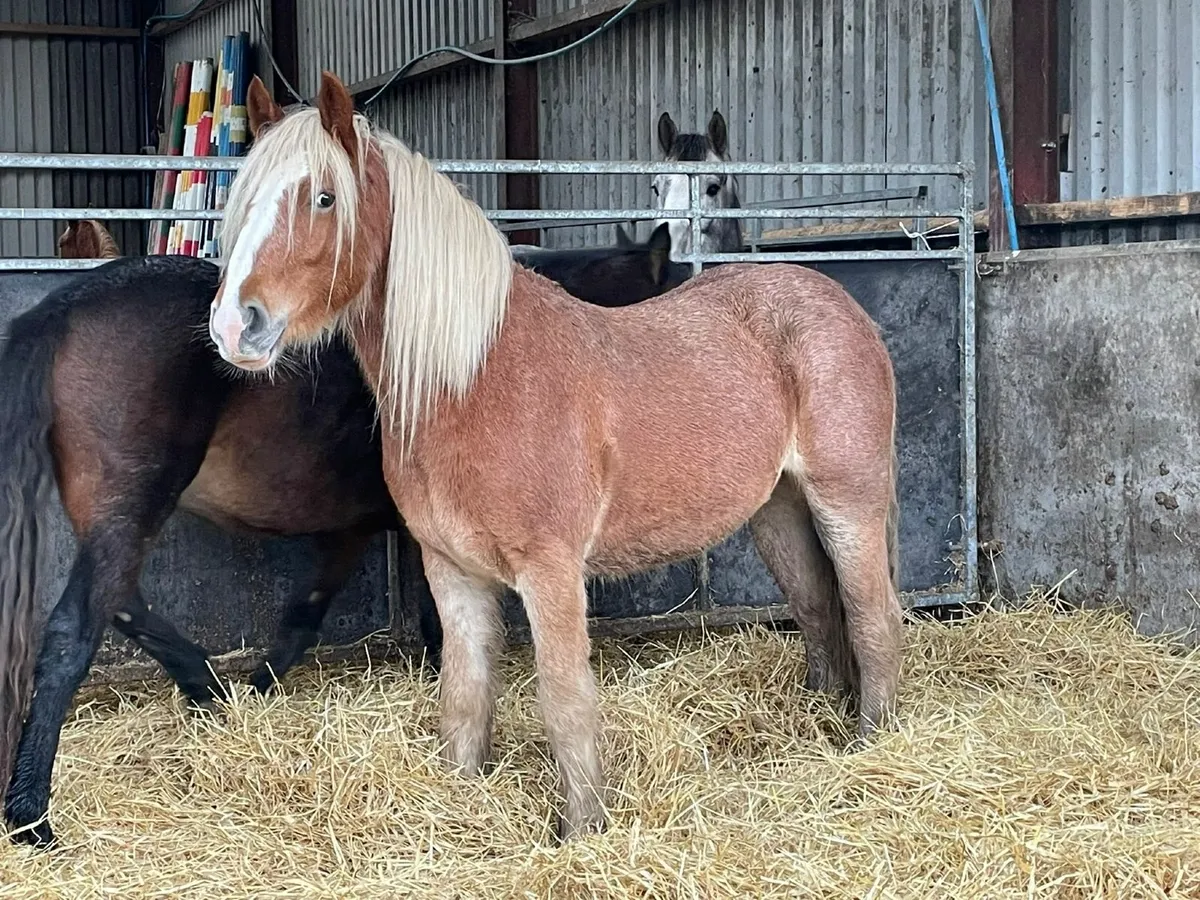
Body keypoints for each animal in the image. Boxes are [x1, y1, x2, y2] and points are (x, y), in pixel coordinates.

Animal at [0, 187, 703, 851]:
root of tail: (68, 307)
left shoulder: (366, 531)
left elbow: (309, 615)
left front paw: (259, 693)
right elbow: (417, 625)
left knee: (123, 604)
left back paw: (207, 690)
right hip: (133, 502)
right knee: (74, 631)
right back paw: (33, 816)